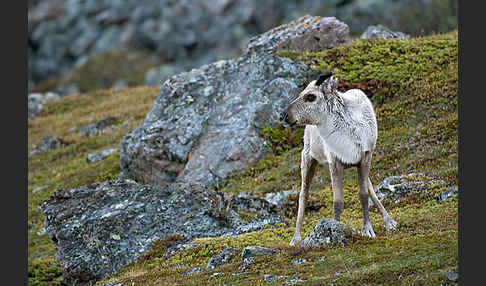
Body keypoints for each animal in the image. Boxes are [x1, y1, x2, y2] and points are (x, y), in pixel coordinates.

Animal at [280, 71, 396, 246]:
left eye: (311, 97)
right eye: (300, 94)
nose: (283, 115)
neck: (348, 135)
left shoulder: (365, 156)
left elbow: (364, 194)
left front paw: (368, 229)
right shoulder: (334, 161)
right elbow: (338, 200)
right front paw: (335, 227)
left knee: (370, 188)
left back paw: (389, 220)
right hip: (307, 158)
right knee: (303, 195)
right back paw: (295, 238)